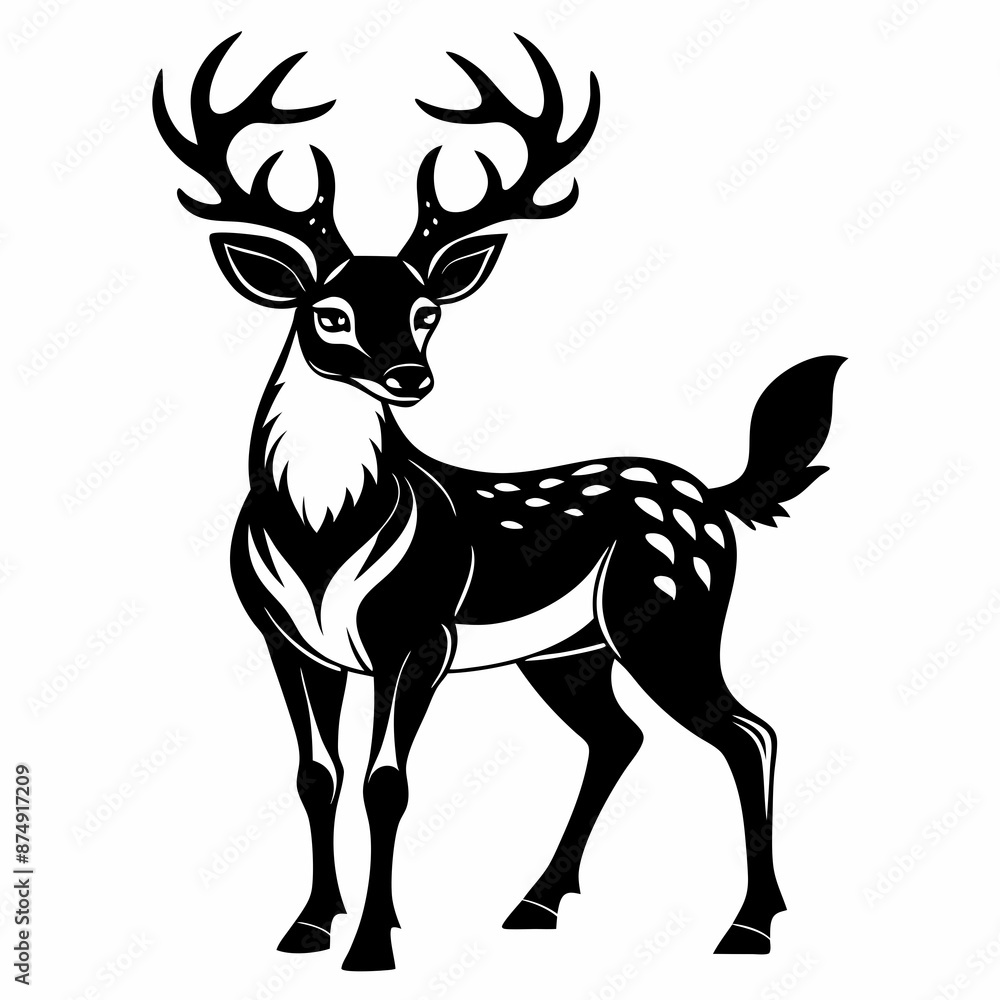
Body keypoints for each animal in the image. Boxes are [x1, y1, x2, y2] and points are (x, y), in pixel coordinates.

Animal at [154, 32, 843, 971]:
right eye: (328, 313)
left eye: (426, 311)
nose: (410, 378)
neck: (321, 533)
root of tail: (711, 495)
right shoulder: (287, 642)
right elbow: (316, 776)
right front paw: (307, 926)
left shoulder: (419, 633)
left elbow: (386, 782)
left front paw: (373, 944)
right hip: (568, 652)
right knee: (619, 737)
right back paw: (537, 904)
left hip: (669, 613)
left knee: (748, 730)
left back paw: (748, 927)